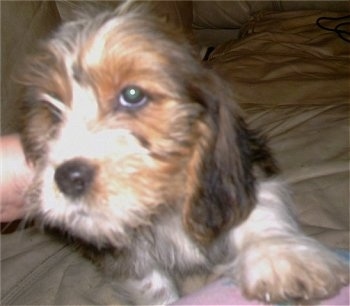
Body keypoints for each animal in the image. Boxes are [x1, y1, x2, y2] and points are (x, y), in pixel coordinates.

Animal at [19, 3, 350, 304]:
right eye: (52, 111)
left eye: (132, 95)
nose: (67, 178)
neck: (165, 204)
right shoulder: (130, 258)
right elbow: (152, 287)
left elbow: (258, 210)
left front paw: (279, 258)